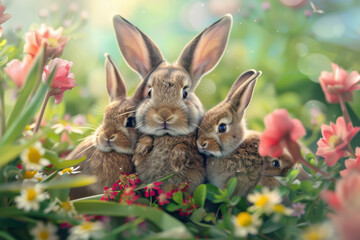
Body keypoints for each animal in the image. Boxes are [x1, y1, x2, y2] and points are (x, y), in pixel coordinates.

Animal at [114, 14, 235, 191]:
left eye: (185, 92)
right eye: (149, 92)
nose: (164, 115)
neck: (167, 135)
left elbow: (185, 147)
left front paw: (176, 160)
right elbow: (146, 138)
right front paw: (140, 151)